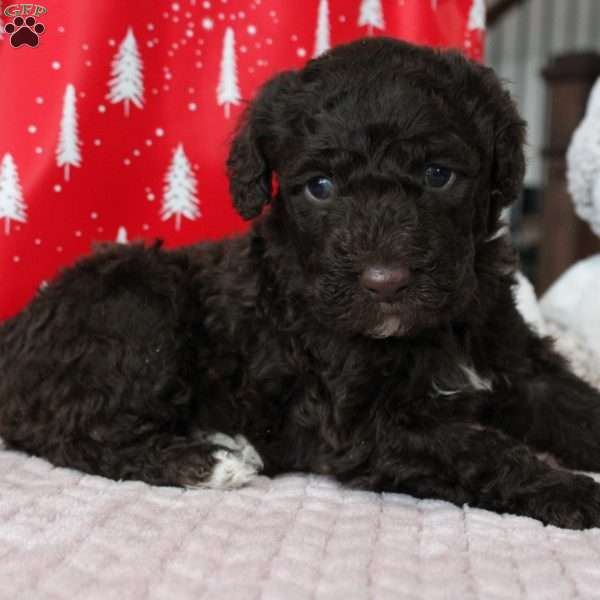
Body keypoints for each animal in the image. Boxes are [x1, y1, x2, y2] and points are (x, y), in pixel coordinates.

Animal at [1, 37, 600, 528]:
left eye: (437, 175)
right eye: (320, 187)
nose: (385, 282)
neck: (433, 332)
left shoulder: (518, 362)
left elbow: (574, 404)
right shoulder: (365, 427)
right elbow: (485, 451)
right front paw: (573, 491)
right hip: (140, 300)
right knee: (77, 432)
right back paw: (208, 461)